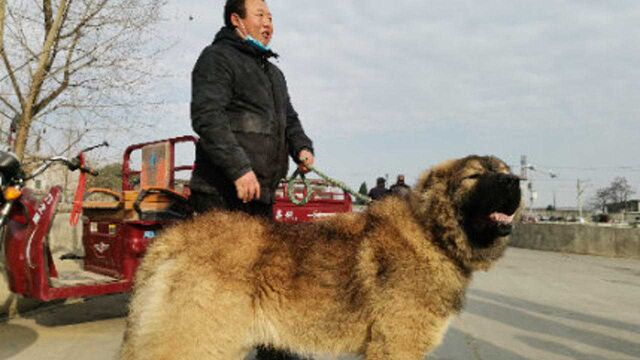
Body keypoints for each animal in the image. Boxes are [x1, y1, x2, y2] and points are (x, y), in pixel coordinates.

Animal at [119, 156, 520, 358]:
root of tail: (174, 237)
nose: (515, 181)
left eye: (505, 171)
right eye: (474, 177)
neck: (432, 234)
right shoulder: (397, 345)